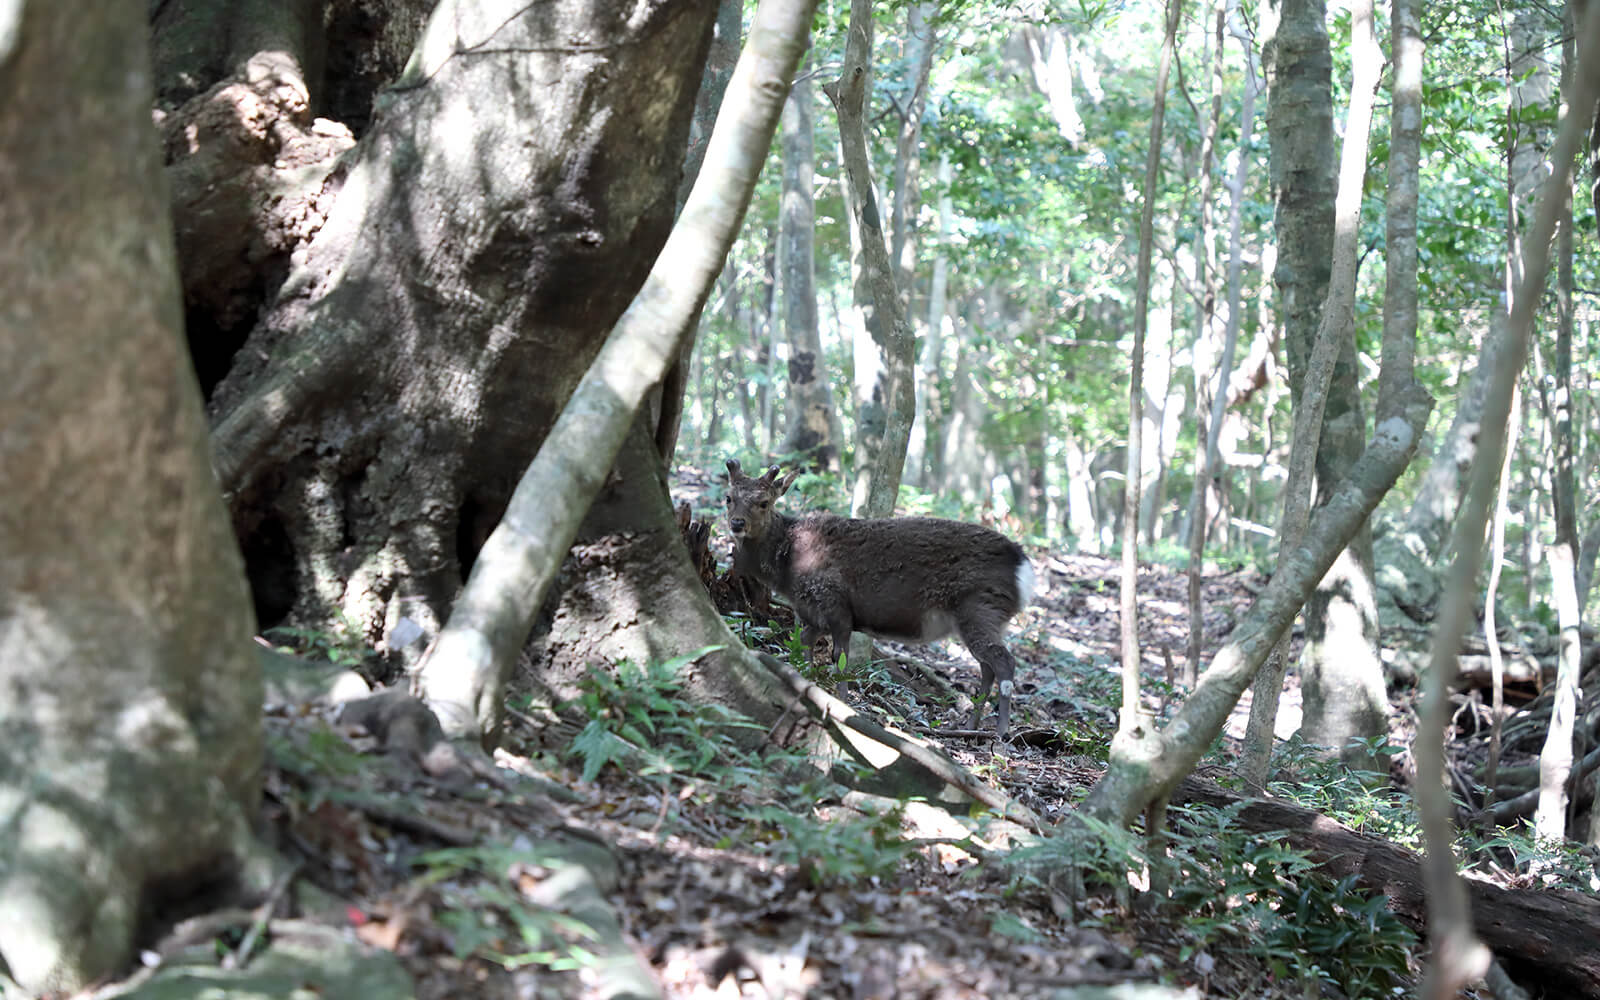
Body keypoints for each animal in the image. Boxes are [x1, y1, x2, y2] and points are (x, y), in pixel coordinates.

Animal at [726, 460, 1036, 732]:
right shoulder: (812, 613)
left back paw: (1001, 730)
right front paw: (803, 682)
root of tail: (1024, 568)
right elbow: (803, 646)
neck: (786, 567)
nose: (737, 523)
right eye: (729, 498)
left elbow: (840, 660)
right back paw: (971, 725)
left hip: (981, 606)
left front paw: (843, 706)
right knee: (986, 667)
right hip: (980, 617)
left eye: (764, 502)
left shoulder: (834, 604)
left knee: (1003, 661)